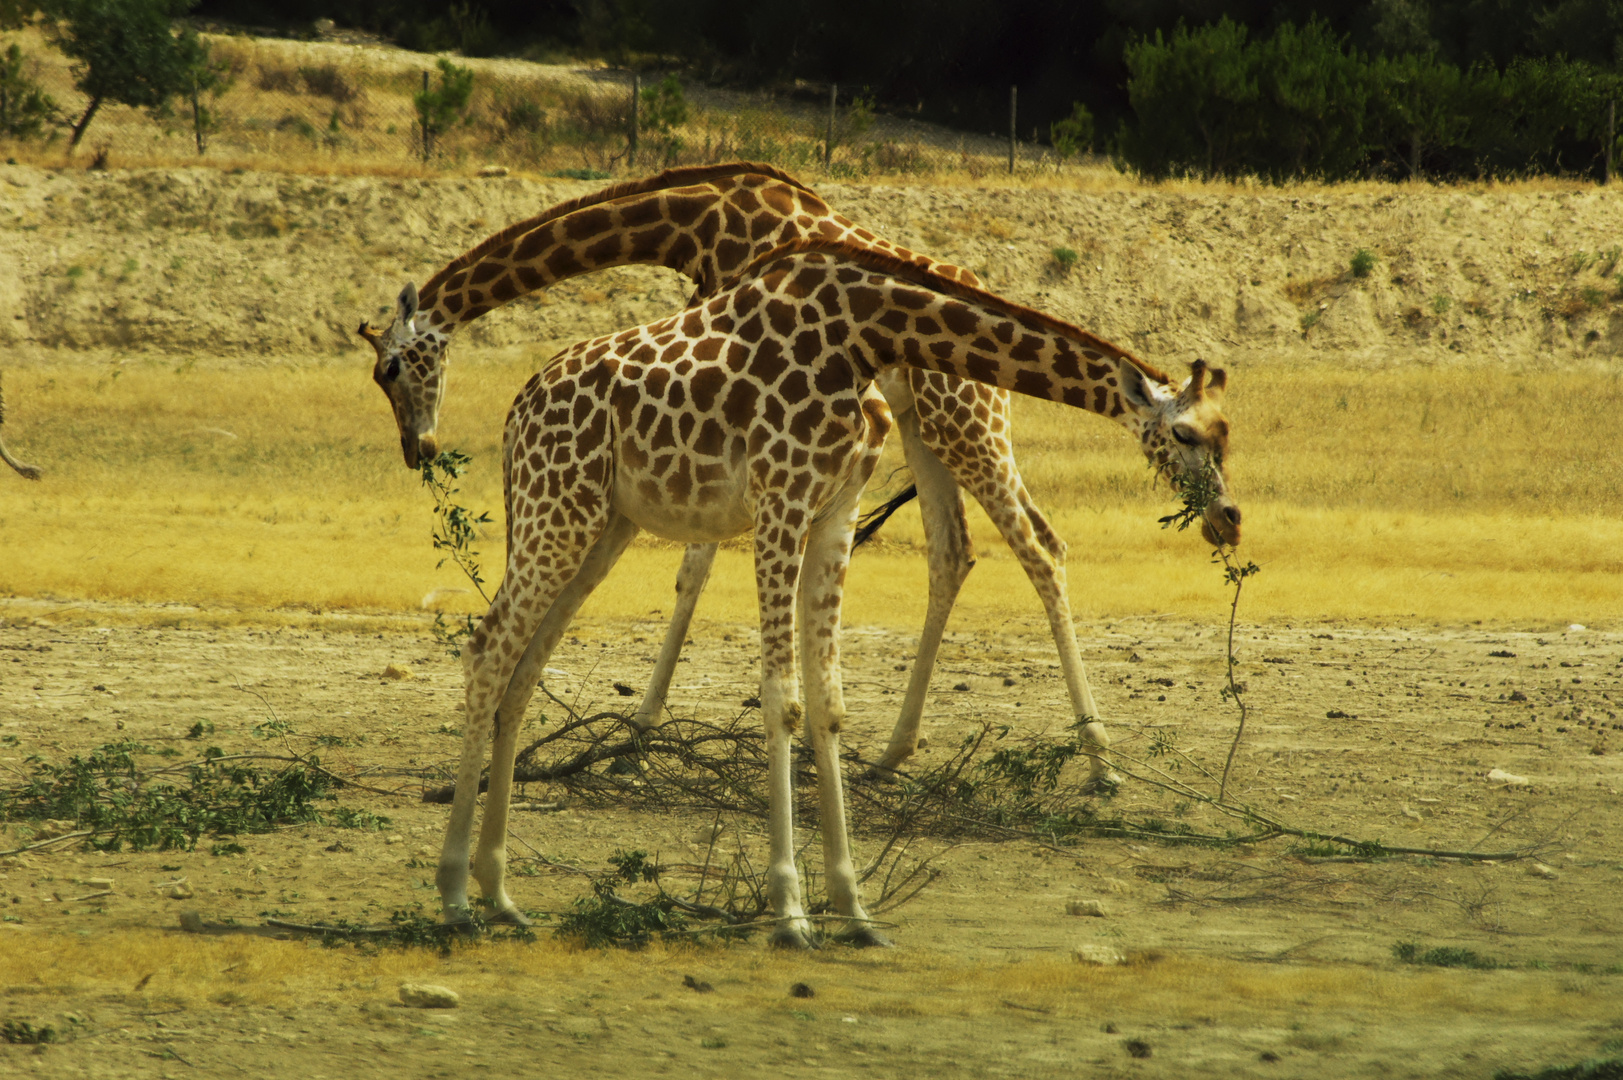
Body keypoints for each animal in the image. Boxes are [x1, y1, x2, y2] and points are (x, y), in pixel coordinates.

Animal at [361, 238, 1233, 941]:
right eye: (1187, 433)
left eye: (1226, 434)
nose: (1227, 519)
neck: (870, 332)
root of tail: (517, 411)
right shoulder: (780, 497)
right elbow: (780, 696)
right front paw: (788, 911)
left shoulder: (836, 508)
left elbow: (828, 703)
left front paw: (853, 909)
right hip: (558, 512)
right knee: (486, 652)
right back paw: (455, 897)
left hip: (601, 525)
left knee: (522, 670)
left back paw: (502, 895)